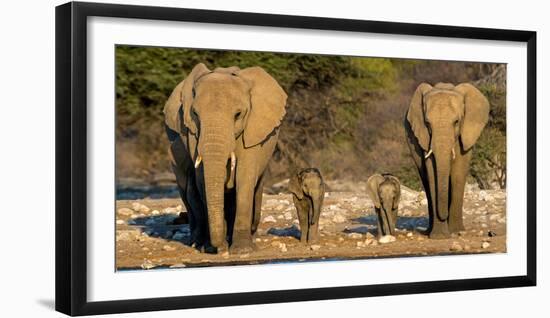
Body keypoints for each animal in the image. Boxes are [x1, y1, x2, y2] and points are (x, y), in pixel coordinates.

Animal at [164, 64, 288, 253]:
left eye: (238, 114)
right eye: (195, 114)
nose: (219, 246)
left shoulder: (252, 131)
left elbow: (245, 178)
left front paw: (243, 250)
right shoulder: (192, 134)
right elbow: (202, 181)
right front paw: (213, 248)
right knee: (187, 191)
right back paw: (197, 242)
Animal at [406, 82, 492, 238]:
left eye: (456, 122)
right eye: (427, 123)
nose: (444, 216)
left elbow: (458, 173)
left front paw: (456, 231)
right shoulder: (425, 137)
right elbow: (432, 173)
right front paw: (439, 237)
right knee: (426, 182)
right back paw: (429, 231)